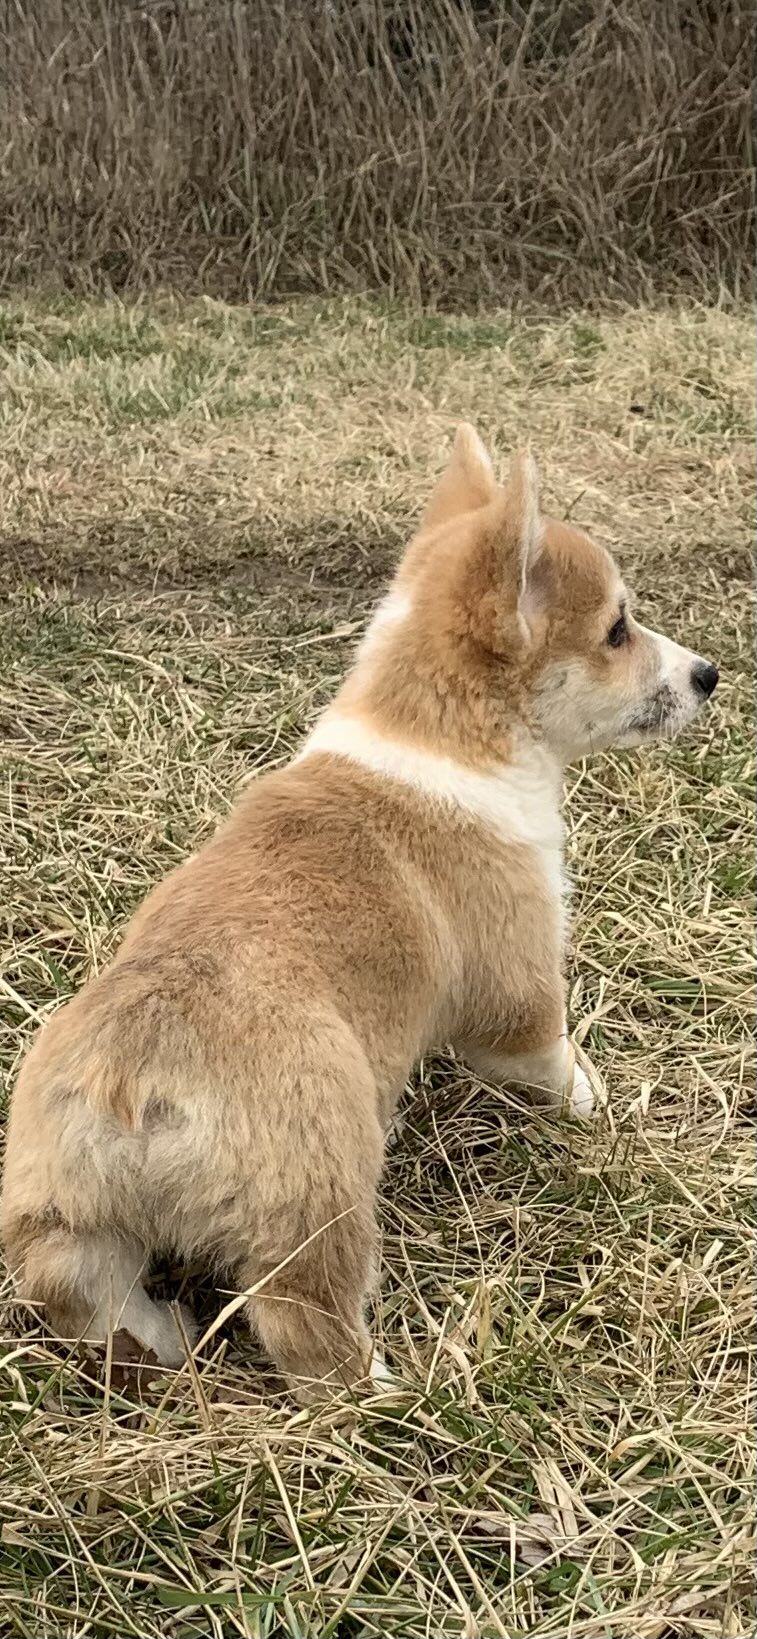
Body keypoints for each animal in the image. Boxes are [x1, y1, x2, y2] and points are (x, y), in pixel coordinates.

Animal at [0, 427, 718, 1400]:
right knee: (302, 1326)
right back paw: (387, 1393)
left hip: (63, 1219)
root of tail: (130, 1080)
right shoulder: (519, 987)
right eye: (617, 628)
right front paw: (599, 1103)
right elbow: (555, 1058)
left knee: (88, 1296)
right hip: (322, 1189)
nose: (709, 674)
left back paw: (161, 1340)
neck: (439, 733)